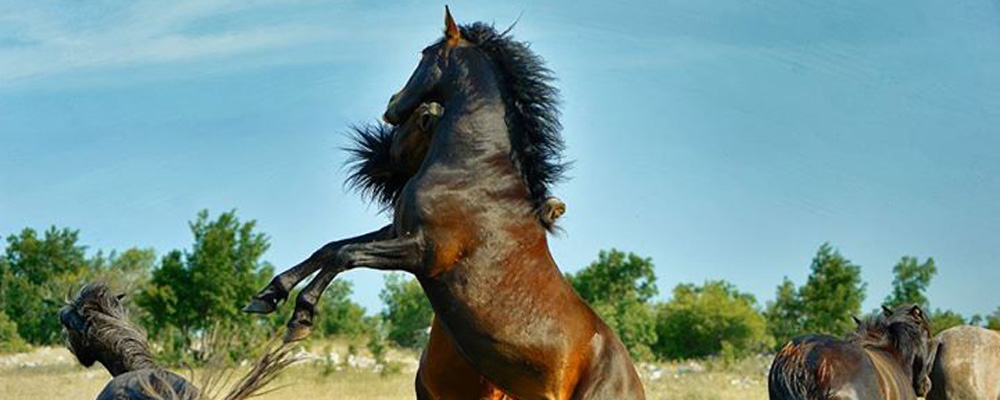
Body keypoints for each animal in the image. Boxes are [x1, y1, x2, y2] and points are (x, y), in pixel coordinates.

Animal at [245, 7, 644, 400]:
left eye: (424, 54)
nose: (391, 105)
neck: (475, 167)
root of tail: (632, 382)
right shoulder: (398, 229)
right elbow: (328, 249)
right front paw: (267, 296)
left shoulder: (424, 253)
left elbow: (345, 255)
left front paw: (300, 318)